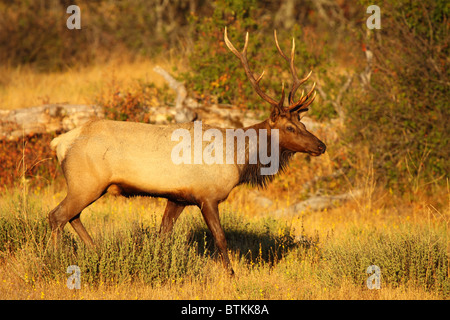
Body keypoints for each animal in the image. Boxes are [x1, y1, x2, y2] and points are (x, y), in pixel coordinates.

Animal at [47, 28, 326, 276]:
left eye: (303, 123)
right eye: (290, 127)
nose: (321, 145)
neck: (238, 159)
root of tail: (59, 142)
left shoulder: (178, 197)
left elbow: (163, 235)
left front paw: (159, 266)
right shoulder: (207, 196)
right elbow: (220, 238)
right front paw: (231, 275)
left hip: (89, 186)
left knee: (73, 216)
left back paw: (96, 251)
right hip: (86, 183)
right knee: (57, 215)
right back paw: (55, 260)